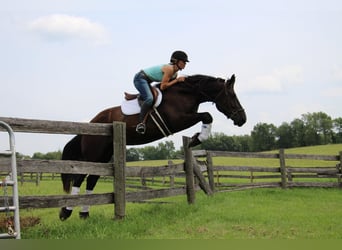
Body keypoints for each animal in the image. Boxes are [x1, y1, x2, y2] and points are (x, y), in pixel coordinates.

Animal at [59, 73, 246, 220]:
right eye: (232, 96)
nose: (242, 119)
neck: (185, 94)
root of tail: (91, 123)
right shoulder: (177, 121)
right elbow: (207, 115)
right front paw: (196, 139)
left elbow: (207, 116)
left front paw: (196, 138)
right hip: (94, 154)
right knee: (80, 178)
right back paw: (66, 212)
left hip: (104, 156)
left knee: (92, 179)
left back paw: (84, 214)